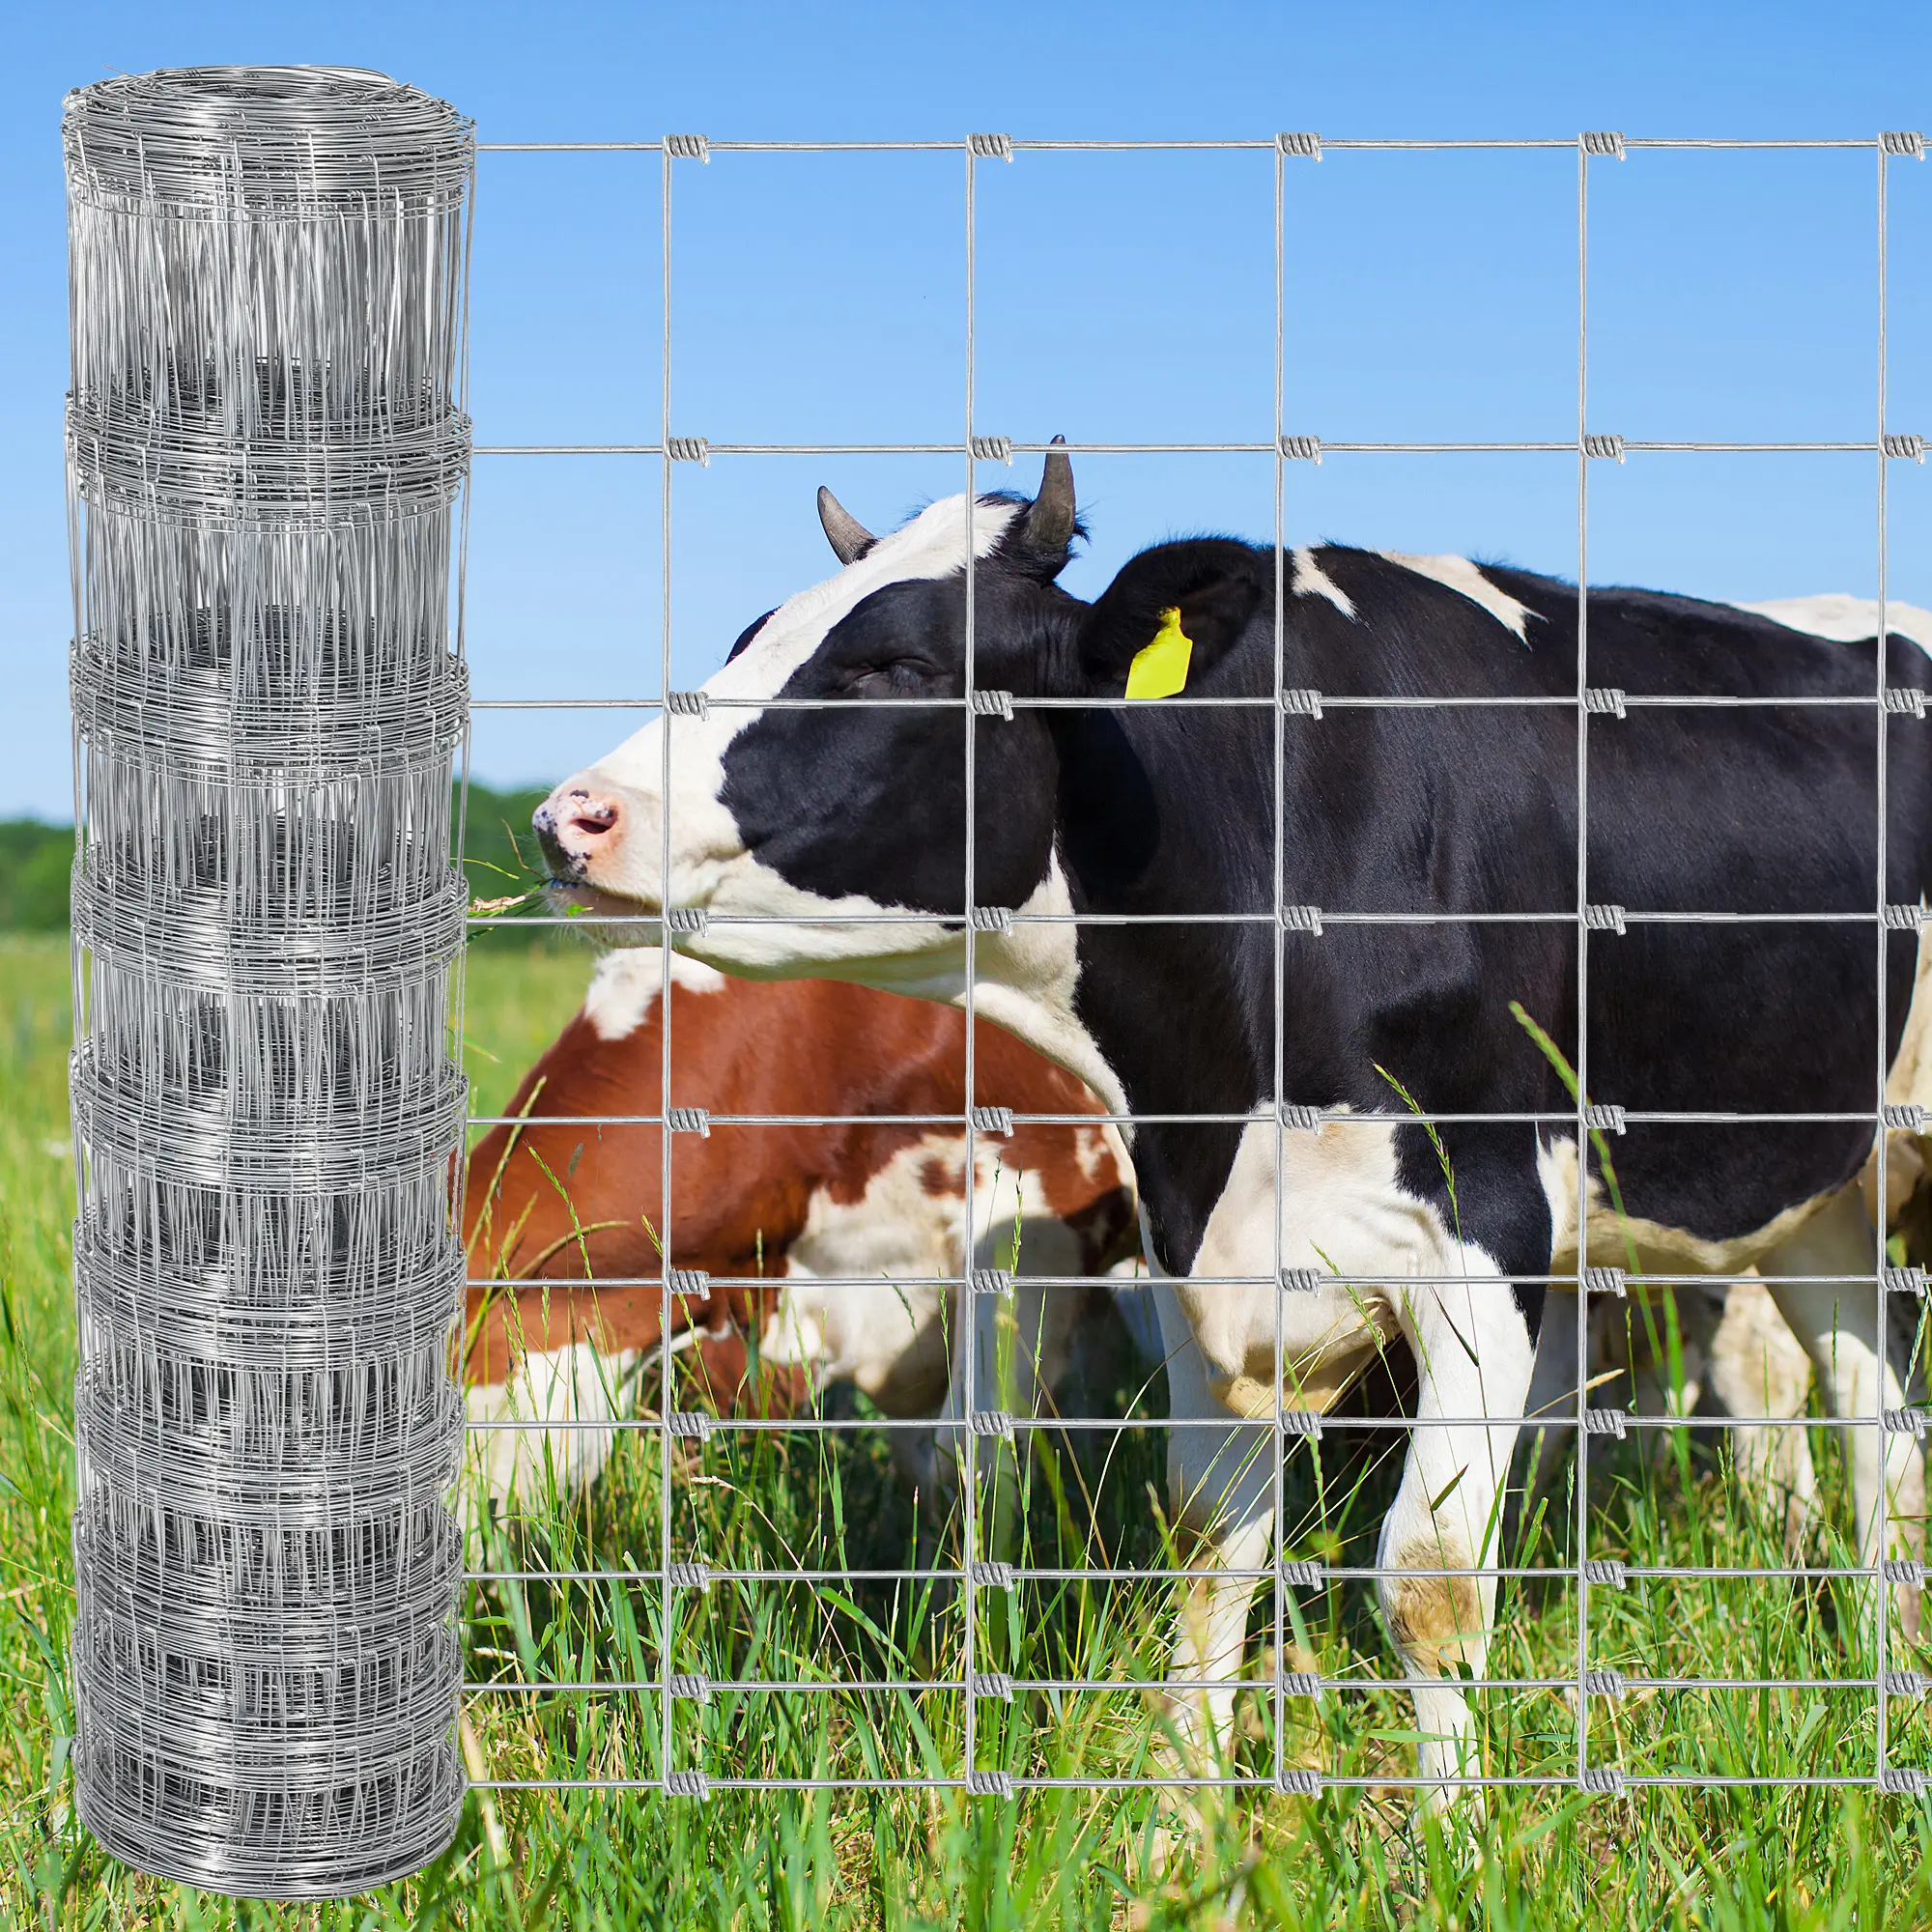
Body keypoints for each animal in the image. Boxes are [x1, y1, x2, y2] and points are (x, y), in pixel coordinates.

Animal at [530, 447, 1931, 1805]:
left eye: (901, 666)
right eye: (750, 635)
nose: (569, 815)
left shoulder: (1486, 1229)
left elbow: (1427, 1577)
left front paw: (1456, 1838)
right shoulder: (1194, 1243)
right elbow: (1207, 1540)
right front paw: (1182, 1817)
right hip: (1822, 1199)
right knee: (1875, 1421)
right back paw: (1893, 1673)